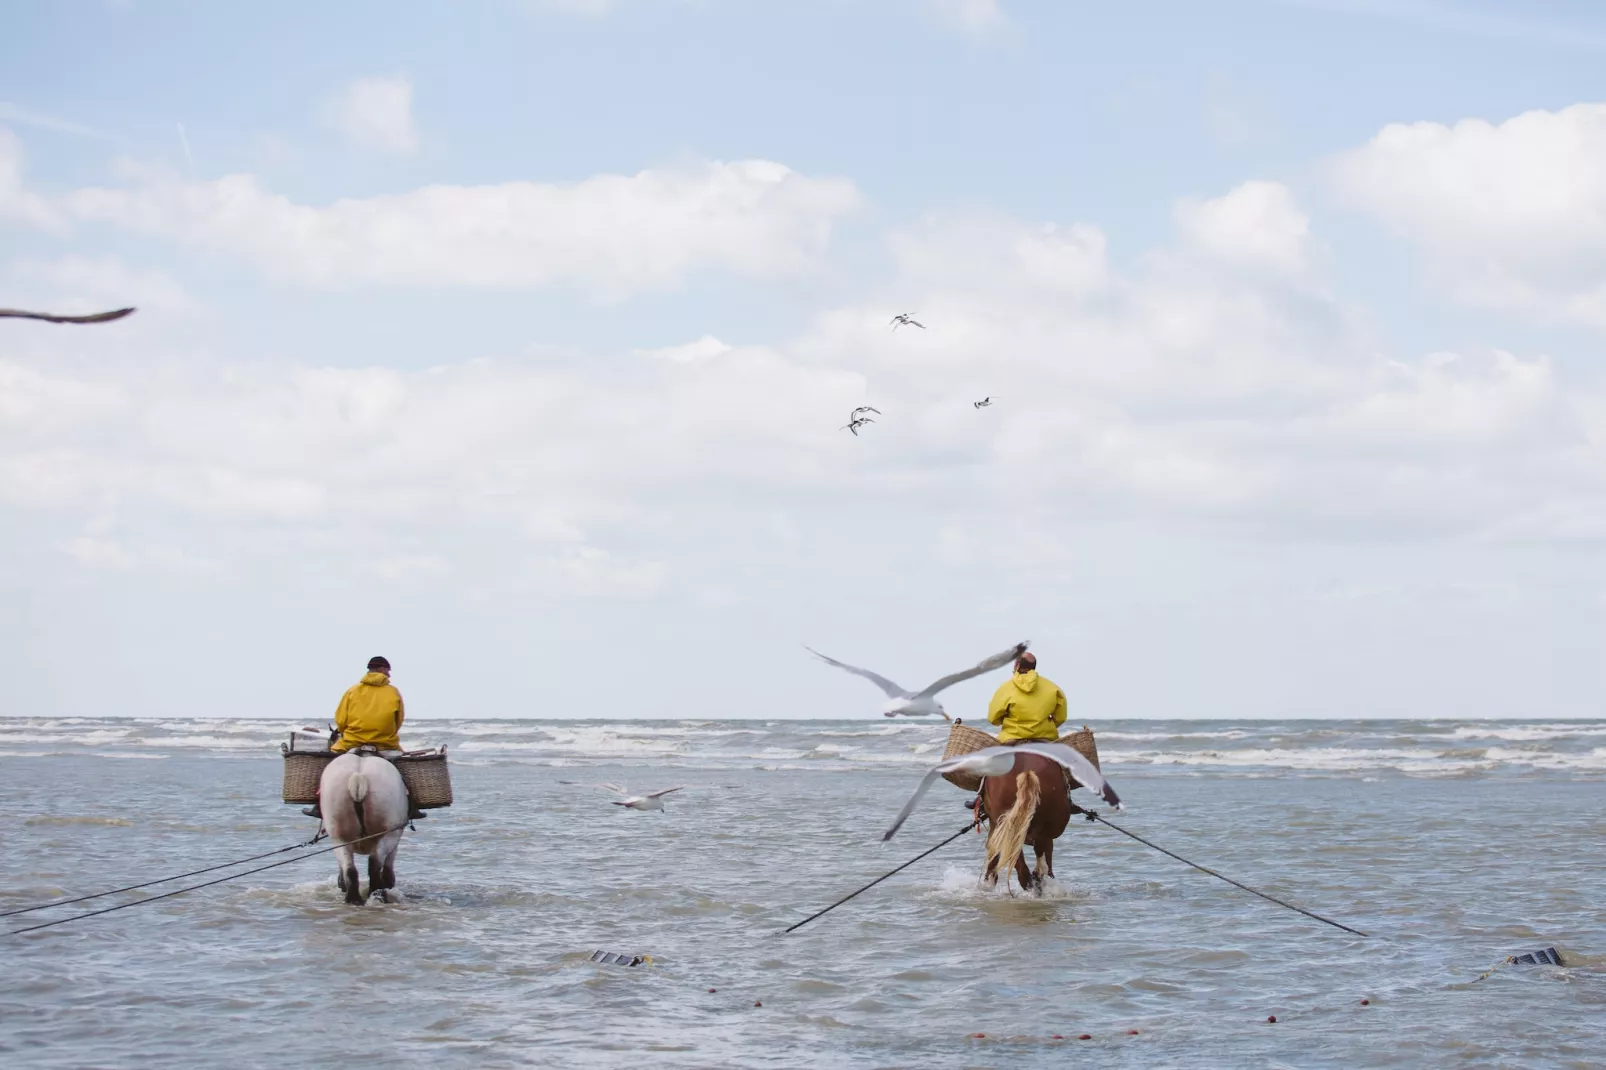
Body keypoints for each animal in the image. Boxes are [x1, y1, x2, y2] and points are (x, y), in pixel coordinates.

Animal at [316, 748, 407, 899]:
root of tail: (358, 776)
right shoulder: (395, 835)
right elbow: (389, 864)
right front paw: (389, 883)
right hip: (389, 833)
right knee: (374, 864)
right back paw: (377, 893)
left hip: (339, 835)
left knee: (349, 868)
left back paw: (354, 898)